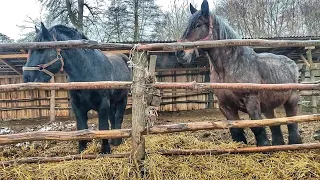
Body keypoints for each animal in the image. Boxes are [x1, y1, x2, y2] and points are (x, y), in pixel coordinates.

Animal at [22, 23, 131, 154]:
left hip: (122, 99)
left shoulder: (103, 104)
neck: (87, 71)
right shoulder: (77, 106)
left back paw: (117, 141)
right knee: (112, 118)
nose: (26, 77)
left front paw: (105, 150)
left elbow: (103, 127)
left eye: (41, 49)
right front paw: (82, 150)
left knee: (118, 117)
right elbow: (81, 128)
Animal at [175, 0, 302, 146]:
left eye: (198, 25)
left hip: (291, 100)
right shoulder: (226, 106)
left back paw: (295, 142)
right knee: (274, 123)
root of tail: (292, 63)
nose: (180, 53)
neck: (230, 67)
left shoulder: (251, 102)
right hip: (268, 106)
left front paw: (264, 146)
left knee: (292, 121)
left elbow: (257, 127)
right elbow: (236, 131)